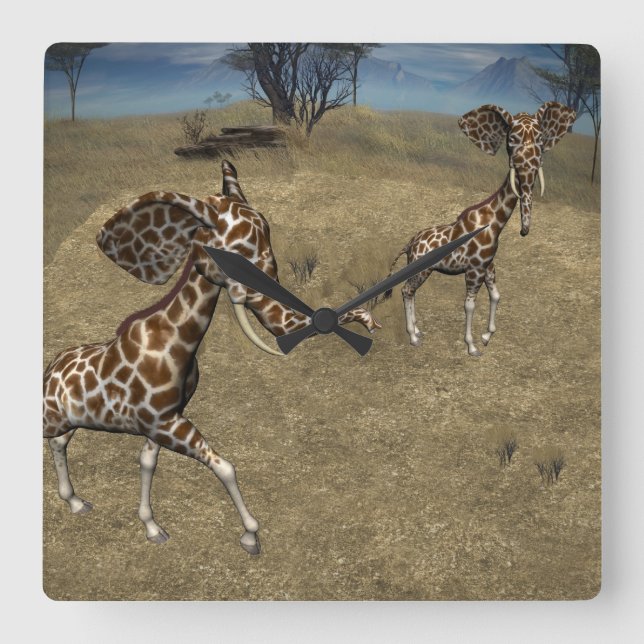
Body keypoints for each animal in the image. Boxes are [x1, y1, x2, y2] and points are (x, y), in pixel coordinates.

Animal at [43, 160, 380, 555]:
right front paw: (251, 538)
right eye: (233, 255)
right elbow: (225, 465)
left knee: (61, 442)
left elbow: (147, 463)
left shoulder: (163, 420)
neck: (178, 344)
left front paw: (153, 529)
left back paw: (77, 502)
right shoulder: (162, 422)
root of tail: (50, 367)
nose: (367, 321)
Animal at [384, 102, 576, 356]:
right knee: (406, 290)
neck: (494, 222)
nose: (524, 231)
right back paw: (413, 338)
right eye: (511, 139)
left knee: (410, 292)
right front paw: (472, 346)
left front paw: (486, 336)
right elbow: (469, 305)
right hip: (422, 270)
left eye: (541, 138)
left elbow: (496, 296)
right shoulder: (474, 269)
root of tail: (410, 244)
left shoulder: (488, 266)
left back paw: (416, 330)